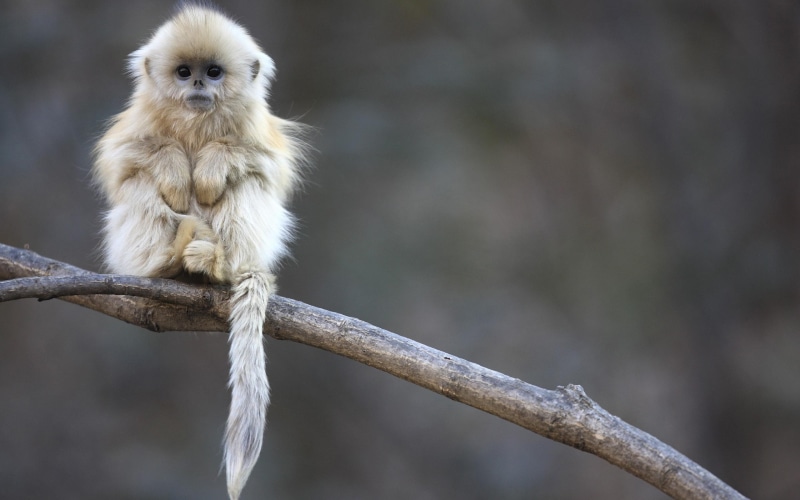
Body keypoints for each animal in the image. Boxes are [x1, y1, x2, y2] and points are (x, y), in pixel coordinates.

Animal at [92, 4, 305, 499]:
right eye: (183, 72)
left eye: (213, 72)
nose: (198, 88)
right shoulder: (136, 125)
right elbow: (123, 162)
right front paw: (174, 168)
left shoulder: (257, 131)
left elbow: (266, 166)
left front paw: (210, 168)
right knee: (140, 183)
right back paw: (166, 264)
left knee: (248, 183)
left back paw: (216, 265)